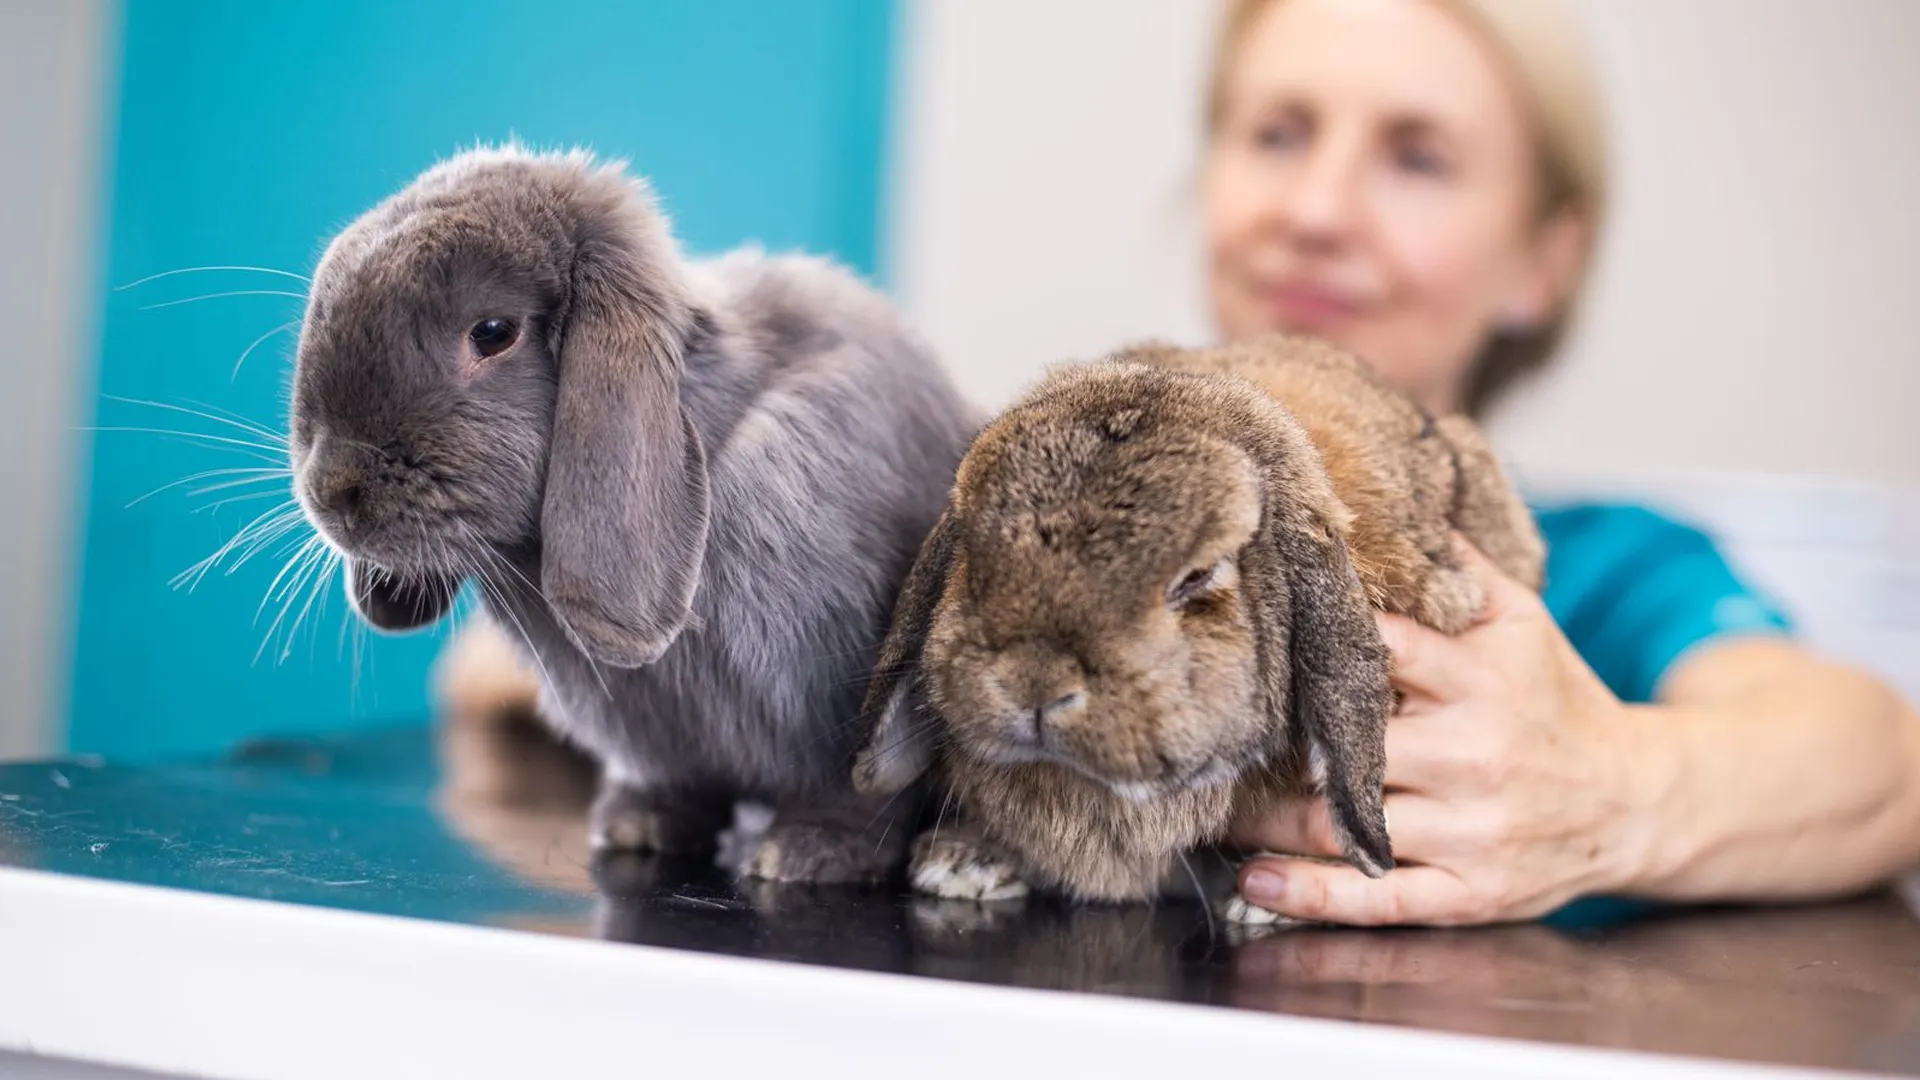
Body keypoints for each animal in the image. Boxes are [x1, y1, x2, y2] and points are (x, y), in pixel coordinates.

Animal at [288, 143, 981, 884]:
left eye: (493, 333)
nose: (332, 488)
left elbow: (860, 789)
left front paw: (807, 854)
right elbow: (674, 787)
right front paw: (638, 830)